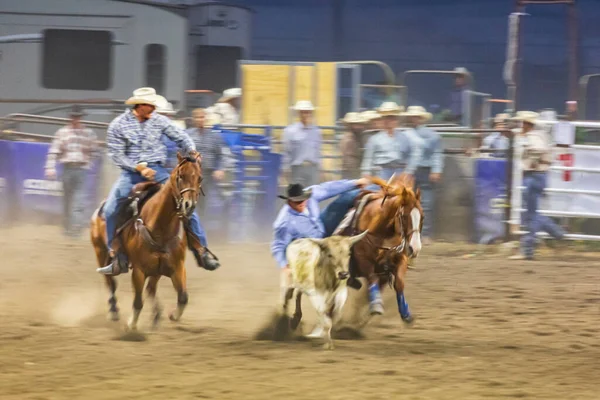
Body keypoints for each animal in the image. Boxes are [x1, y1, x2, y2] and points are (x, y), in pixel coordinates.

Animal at [89, 155, 202, 330]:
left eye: (199, 178)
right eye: (180, 176)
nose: (189, 206)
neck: (160, 228)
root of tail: (99, 209)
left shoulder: (177, 267)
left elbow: (183, 297)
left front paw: (173, 315)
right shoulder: (139, 270)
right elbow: (137, 301)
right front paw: (131, 324)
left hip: (157, 269)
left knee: (150, 289)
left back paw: (156, 315)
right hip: (100, 252)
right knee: (110, 282)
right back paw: (114, 310)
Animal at [342, 173, 422, 324]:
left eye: (422, 217)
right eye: (404, 216)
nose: (415, 248)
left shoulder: (400, 258)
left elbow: (399, 283)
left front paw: (405, 312)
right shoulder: (363, 260)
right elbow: (372, 277)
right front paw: (376, 305)